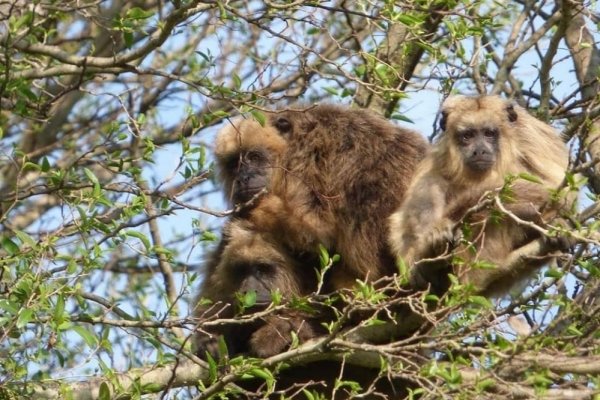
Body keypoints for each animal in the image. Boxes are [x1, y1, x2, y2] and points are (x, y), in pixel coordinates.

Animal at [386, 95, 576, 296]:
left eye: (489, 133)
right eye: (467, 136)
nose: (480, 151)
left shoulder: (531, 135)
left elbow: (559, 190)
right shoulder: (440, 153)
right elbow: (408, 214)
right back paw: (433, 255)